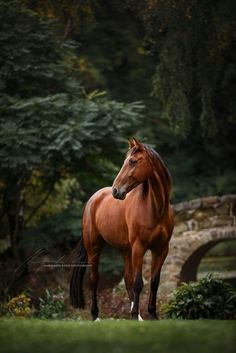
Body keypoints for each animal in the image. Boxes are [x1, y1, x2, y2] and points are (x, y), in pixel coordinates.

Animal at [69, 138, 173, 320]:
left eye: (133, 161)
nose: (116, 190)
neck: (156, 209)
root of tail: (93, 199)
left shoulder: (161, 249)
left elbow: (154, 282)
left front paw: (152, 315)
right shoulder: (139, 248)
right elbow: (138, 282)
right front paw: (136, 314)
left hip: (125, 250)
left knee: (127, 279)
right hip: (94, 248)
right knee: (94, 279)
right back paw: (96, 316)